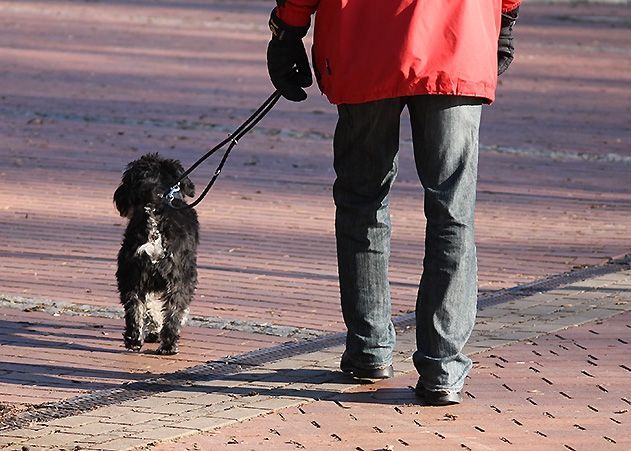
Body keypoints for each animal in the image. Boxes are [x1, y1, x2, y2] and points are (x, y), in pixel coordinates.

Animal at [113, 154, 198, 354]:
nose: (118, 197)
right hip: (180, 279)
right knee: (174, 312)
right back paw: (168, 345)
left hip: (131, 278)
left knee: (134, 310)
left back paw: (134, 340)